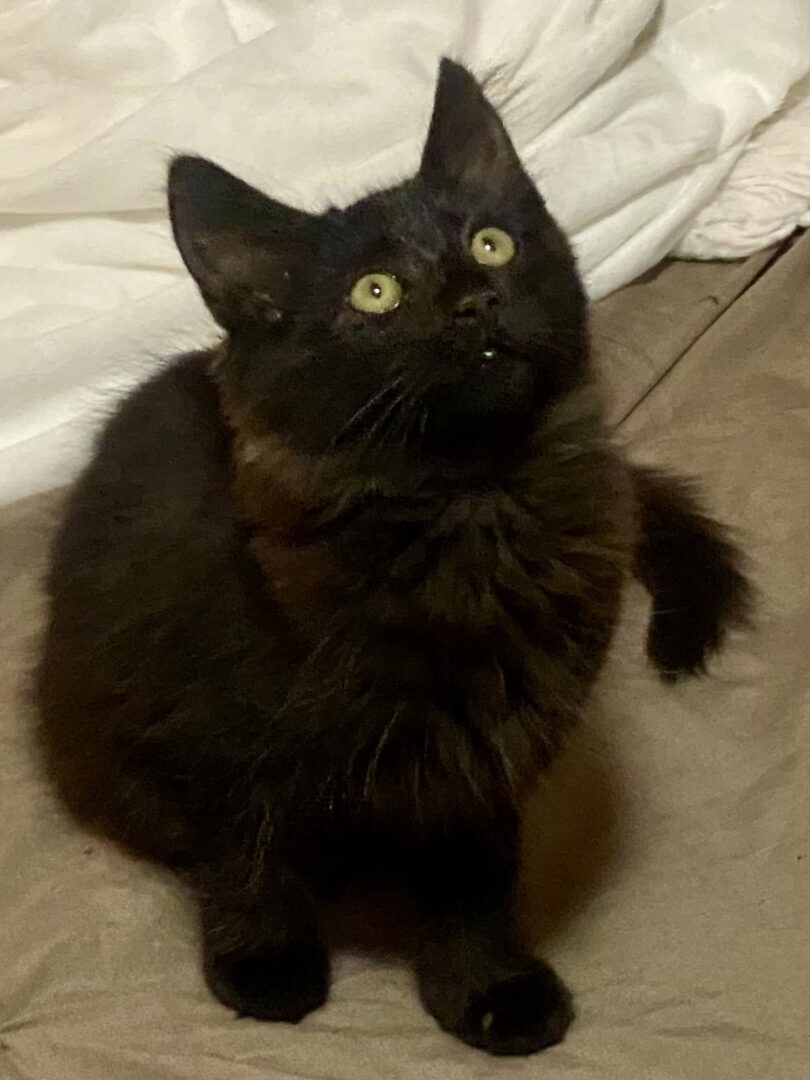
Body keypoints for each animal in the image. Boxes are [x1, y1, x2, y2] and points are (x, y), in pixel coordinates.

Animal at [35, 59, 750, 1057]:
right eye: (375, 293)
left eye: (493, 243)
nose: (477, 301)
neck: (471, 503)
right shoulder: (204, 734)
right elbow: (245, 850)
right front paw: (265, 963)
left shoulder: (488, 746)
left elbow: (475, 873)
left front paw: (484, 984)